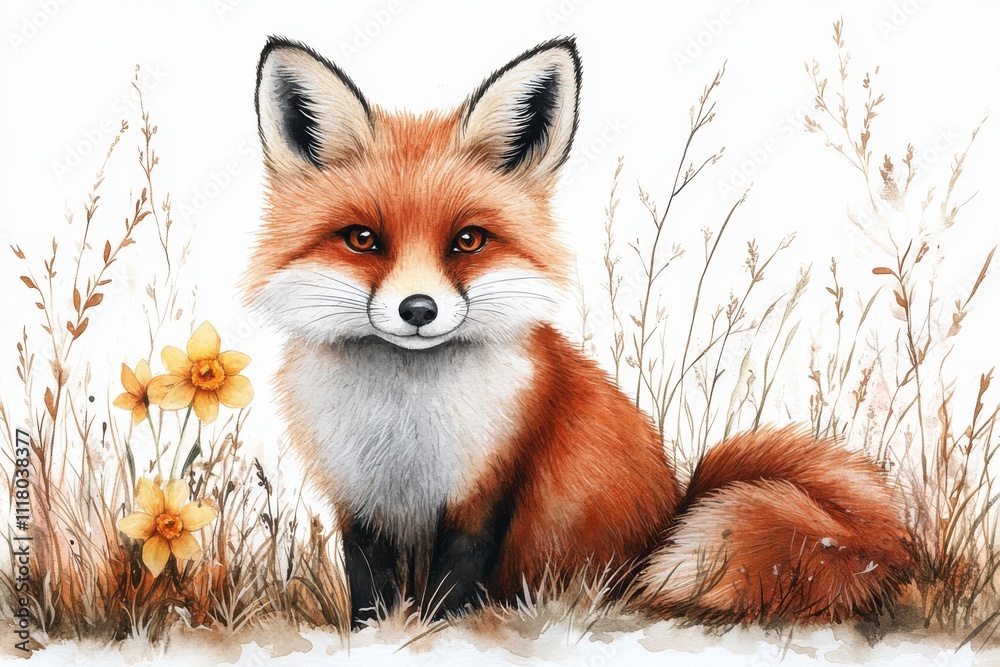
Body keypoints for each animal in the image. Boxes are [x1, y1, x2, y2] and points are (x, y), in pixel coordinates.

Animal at [245, 35, 912, 628]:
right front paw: (373, 632)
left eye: (468, 240)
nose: (418, 310)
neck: (405, 420)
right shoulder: (357, 494)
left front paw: (439, 629)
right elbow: (368, 582)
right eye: (363, 239)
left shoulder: (488, 484)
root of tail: (672, 513)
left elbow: (456, 576)